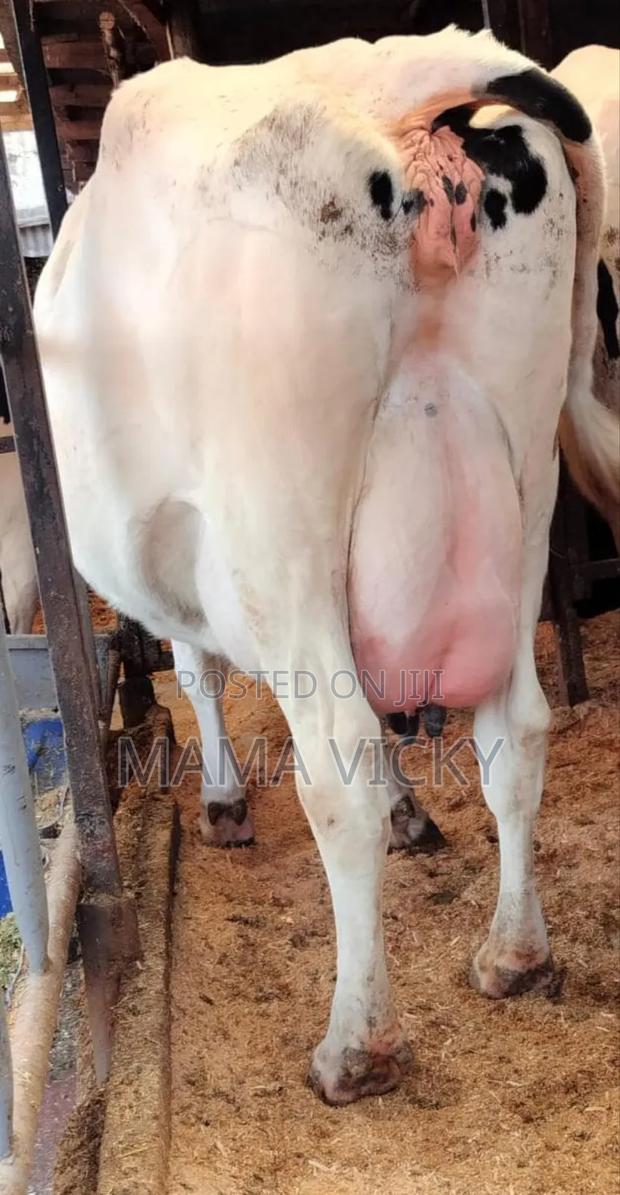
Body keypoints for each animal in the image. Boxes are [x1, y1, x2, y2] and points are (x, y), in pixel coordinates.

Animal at [33, 27, 619, 1104]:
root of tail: (404, 76)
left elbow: (196, 675)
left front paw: (225, 801)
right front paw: (411, 813)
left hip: (282, 527)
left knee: (332, 766)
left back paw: (357, 1042)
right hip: (526, 479)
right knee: (515, 729)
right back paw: (514, 954)